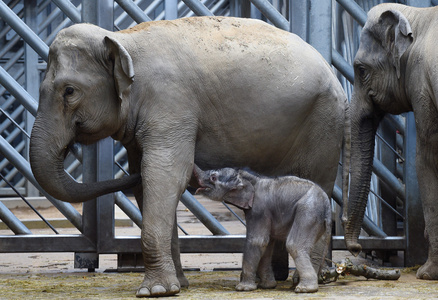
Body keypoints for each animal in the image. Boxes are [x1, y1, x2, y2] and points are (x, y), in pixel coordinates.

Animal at [193, 164, 330, 292]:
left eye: (213, 178)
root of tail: (327, 203)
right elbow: (267, 245)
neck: (248, 178)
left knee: (294, 245)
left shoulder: (259, 210)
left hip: (308, 212)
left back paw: (304, 289)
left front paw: (243, 288)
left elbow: (257, 242)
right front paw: (267, 286)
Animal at [344, 2, 438, 280]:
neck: (416, 16)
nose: (356, 249)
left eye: (361, 70)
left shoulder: (422, 84)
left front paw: (426, 274)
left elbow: (426, 158)